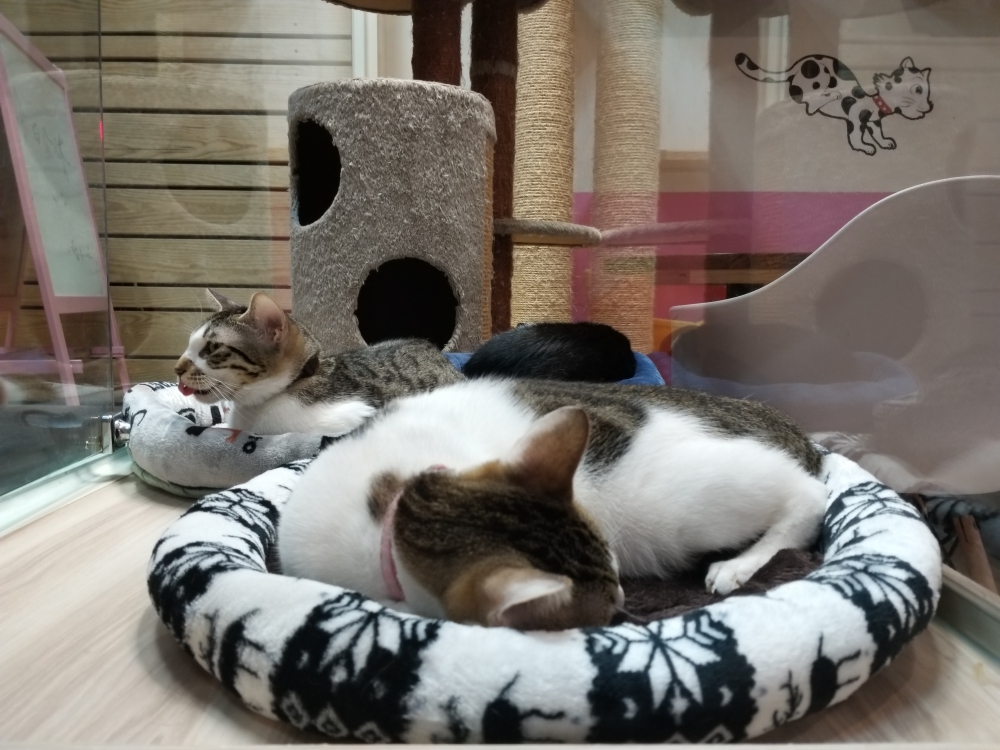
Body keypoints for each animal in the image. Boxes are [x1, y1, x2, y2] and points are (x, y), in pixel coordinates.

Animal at [735, 53, 932, 155]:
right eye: (918, 89)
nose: (929, 106)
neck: (876, 102)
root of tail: (795, 67)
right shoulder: (855, 120)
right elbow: (855, 137)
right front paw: (864, 147)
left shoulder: (874, 122)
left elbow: (877, 133)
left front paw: (884, 143)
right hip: (817, 79)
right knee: (809, 102)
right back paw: (831, 95)